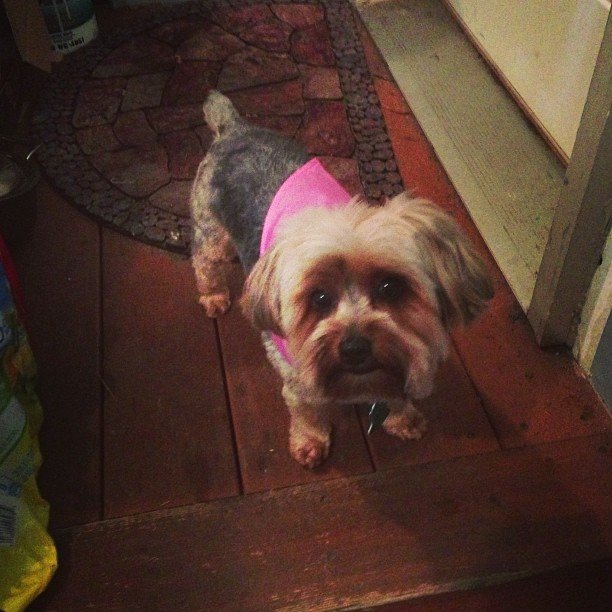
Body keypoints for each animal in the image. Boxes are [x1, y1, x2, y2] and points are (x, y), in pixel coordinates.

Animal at [190, 90, 493, 468]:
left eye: (390, 287)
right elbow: (306, 408)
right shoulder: (297, 374)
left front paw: (403, 418)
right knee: (204, 259)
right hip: (209, 225)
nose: (354, 348)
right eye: (319, 298)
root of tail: (233, 127)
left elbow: (397, 386)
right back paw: (214, 295)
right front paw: (310, 441)